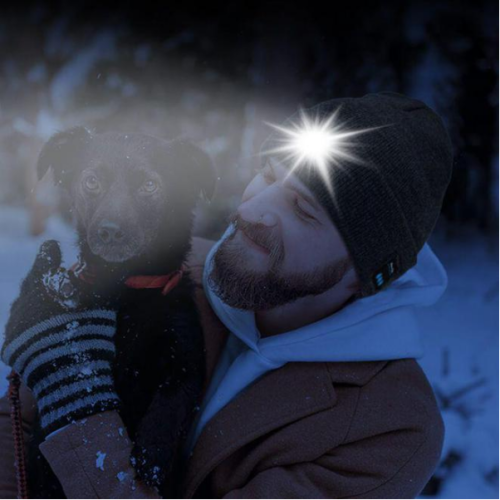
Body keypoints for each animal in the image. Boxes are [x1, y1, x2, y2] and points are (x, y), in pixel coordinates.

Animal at [27, 127, 215, 498]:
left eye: (150, 185)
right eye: (91, 181)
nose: (110, 231)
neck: (126, 288)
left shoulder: (187, 356)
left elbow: (173, 397)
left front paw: (152, 455)